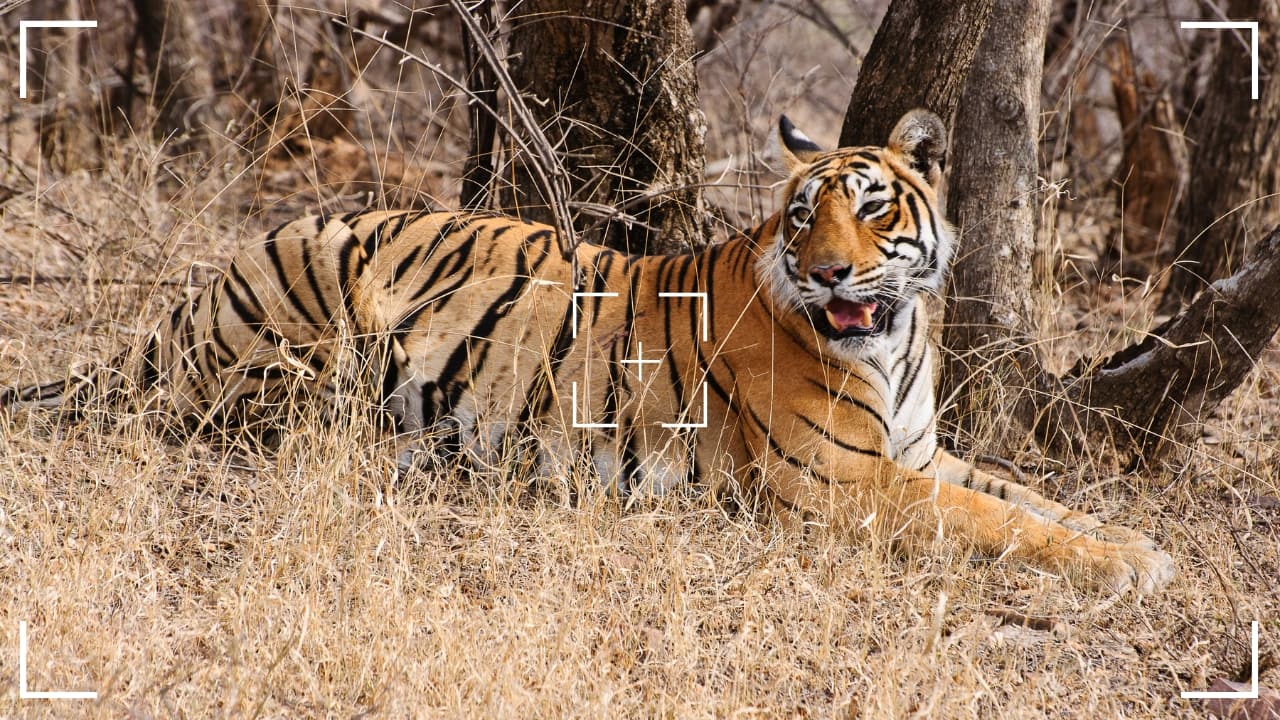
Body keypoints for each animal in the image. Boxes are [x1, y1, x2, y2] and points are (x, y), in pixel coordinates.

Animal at [1, 109, 1174, 594]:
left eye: (872, 208)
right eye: (804, 218)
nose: (832, 275)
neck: (895, 339)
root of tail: (196, 295)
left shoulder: (919, 453)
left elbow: (1031, 500)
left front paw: (1138, 545)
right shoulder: (840, 481)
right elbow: (1000, 525)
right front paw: (1126, 567)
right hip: (306, 314)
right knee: (243, 421)